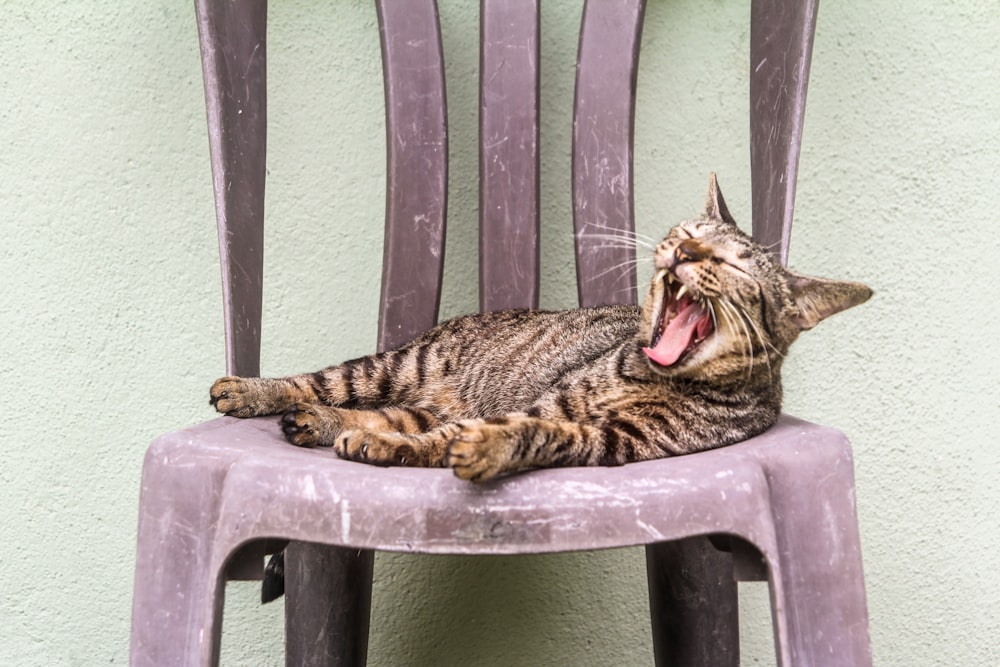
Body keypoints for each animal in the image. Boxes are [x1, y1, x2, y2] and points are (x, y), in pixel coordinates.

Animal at [213, 175, 876, 482]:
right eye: (687, 230)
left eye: (733, 262)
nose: (684, 251)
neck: (648, 375)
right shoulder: (548, 400)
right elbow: (452, 435)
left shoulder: (608, 440)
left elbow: (520, 436)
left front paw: (475, 448)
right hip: (395, 365)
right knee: (323, 382)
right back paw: (252, 391)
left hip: (422, 395)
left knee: (387, 416)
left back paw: (323, 425)